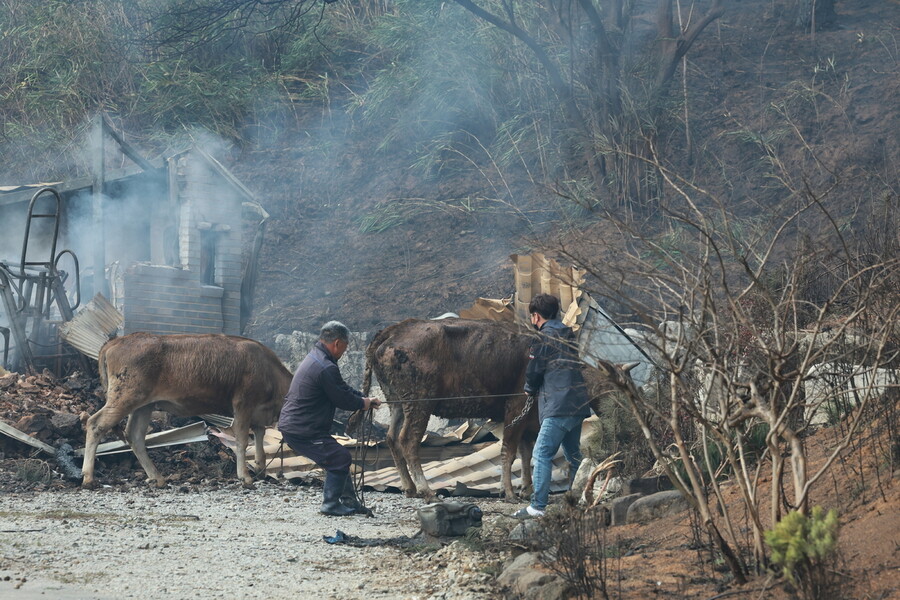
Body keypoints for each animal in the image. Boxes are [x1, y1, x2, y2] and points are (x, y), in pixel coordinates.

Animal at [81, 332, 288, 488]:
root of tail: (118, 340)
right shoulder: (243, 404)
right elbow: (243, 441)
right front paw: (245, 477)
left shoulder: (258, 413)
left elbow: (260, 436)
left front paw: (261, 467)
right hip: (124, 397)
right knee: (95, 424)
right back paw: (88, 478)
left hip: (143, 405)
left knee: (135, 436)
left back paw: (157, 478)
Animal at [360, 318, 540, 502]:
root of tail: (395, 329)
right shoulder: (517, 406)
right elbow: (510, 451)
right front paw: (510, 493)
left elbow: (527, 453)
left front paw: (526, 490)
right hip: (420, 403)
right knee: (408, 440)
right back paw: (427, 491)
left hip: (397, 403)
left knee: (392, 438)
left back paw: (410, 488)